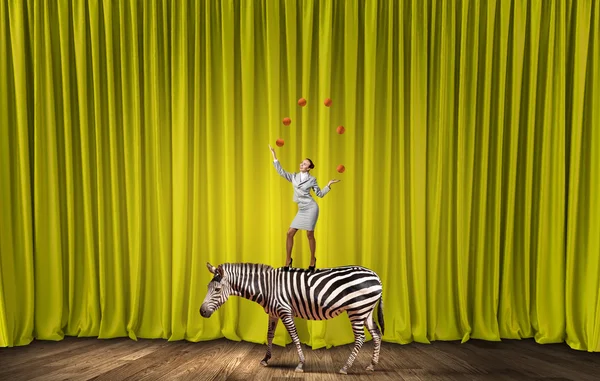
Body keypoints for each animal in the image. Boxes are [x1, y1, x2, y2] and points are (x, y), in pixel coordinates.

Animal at [198, 262, 384, 374]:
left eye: (217, 289)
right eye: (207, 287)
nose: (201, 312)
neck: (266, 287)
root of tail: (376, 275)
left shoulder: (285, 311)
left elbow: (294, 336)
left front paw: (301, 364)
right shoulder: (273, 313)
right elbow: (269, 335)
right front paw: (265, 359)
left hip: (357, 309)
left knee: (360, 337)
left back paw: (345, 367)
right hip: (366, 311)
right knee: (376, 334)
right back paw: (372, 365)